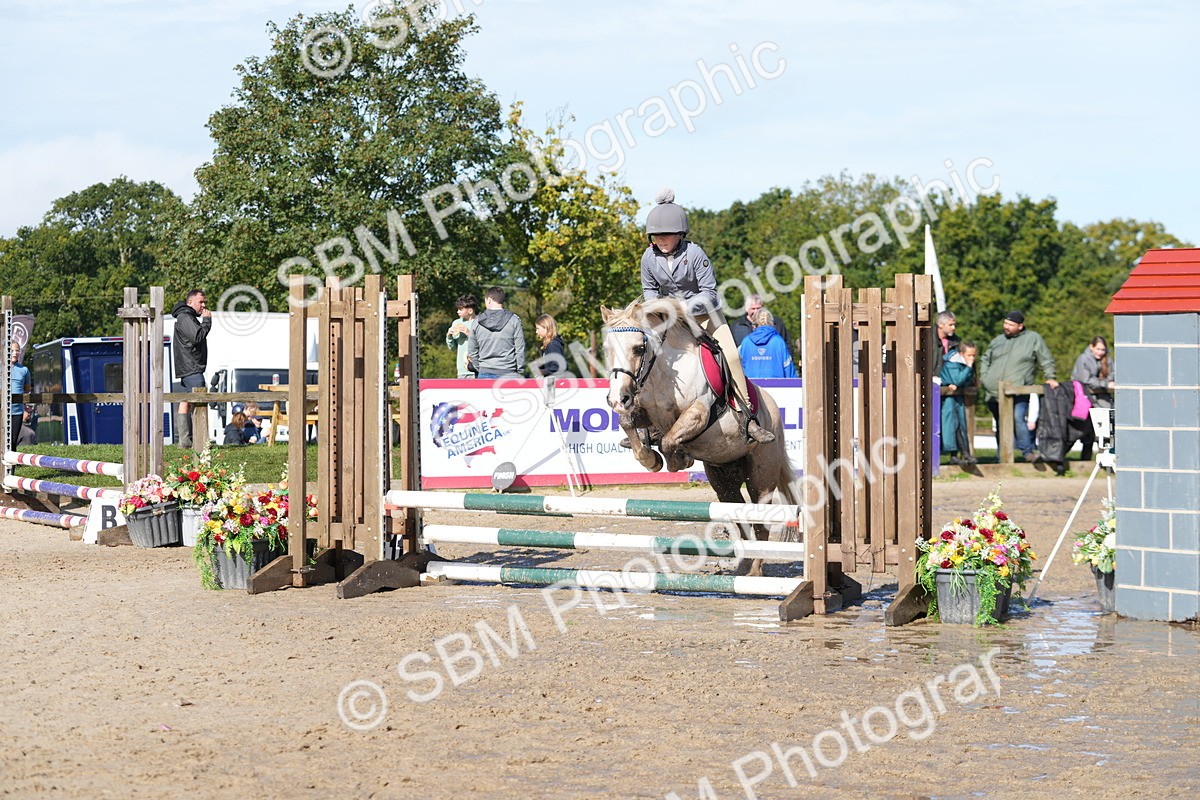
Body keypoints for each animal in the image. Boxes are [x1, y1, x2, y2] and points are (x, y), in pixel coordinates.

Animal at [601, 298, 801, 576]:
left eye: (639, 348)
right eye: (606, 348)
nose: (617, 399)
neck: (663, 372)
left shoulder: (700, 411)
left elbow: (669, 440)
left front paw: (679, 459)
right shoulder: (641, 410)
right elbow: (629, 423)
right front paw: (651, 459)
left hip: (761, 476)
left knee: (760, 523)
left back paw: (754, 570)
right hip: (724, 480)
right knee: (740, 517)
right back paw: (743, 566)